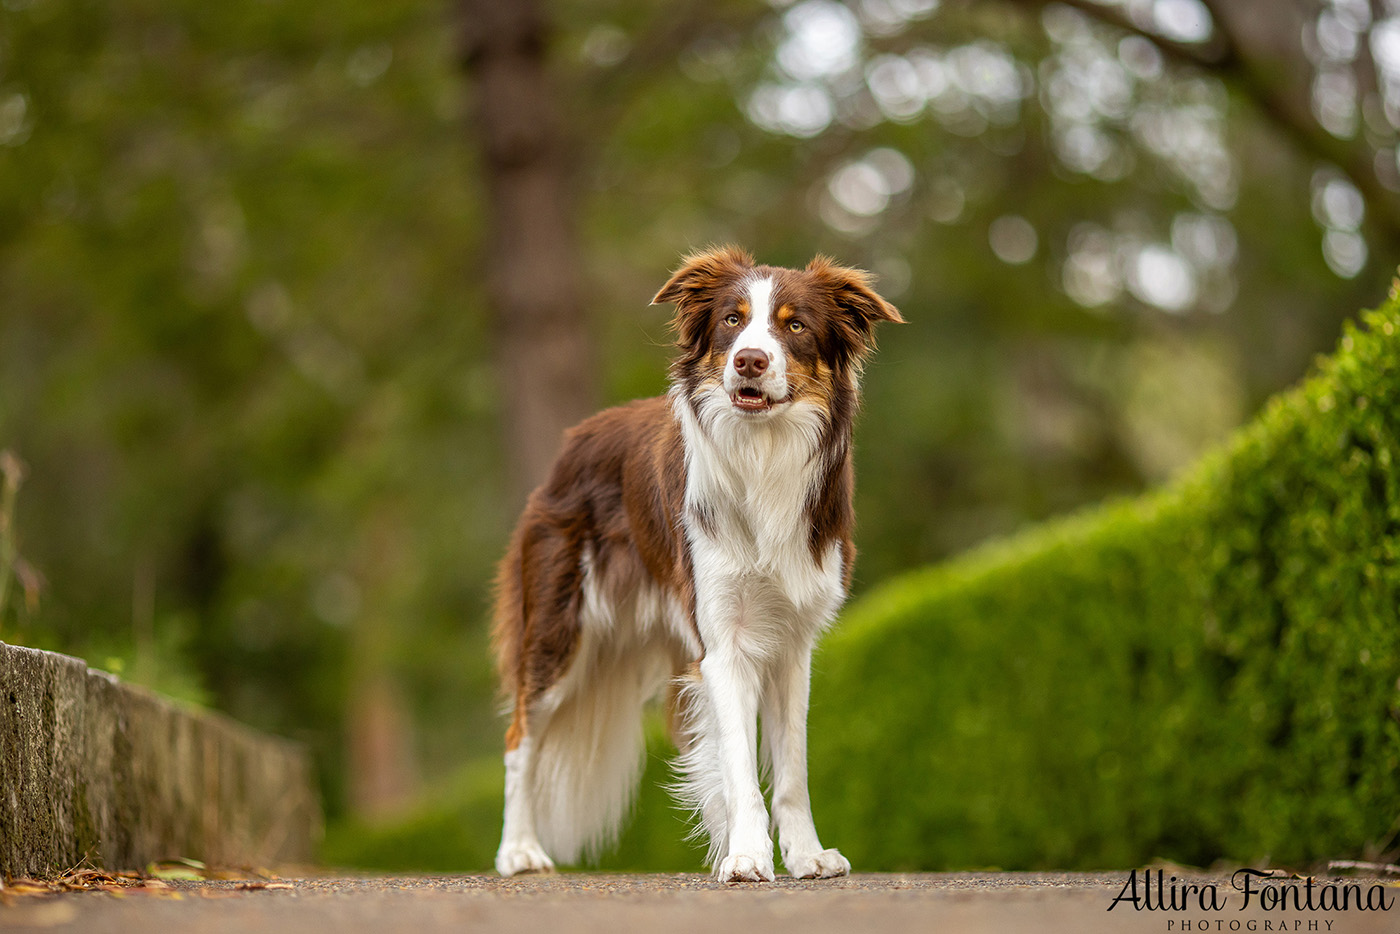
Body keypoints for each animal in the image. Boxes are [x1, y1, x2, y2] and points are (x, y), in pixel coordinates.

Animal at [492, 246, 907, 884]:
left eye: (795, 326)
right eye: (732, 320)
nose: (750, 360)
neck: (762, 454)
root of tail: (573, 441)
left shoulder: (791, 645)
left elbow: (791, 771)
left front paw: (804, 855)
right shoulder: (724, 643)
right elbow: (739, 766)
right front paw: (746, 856)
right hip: (558, 630)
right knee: (520, 737)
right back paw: (518, 850)